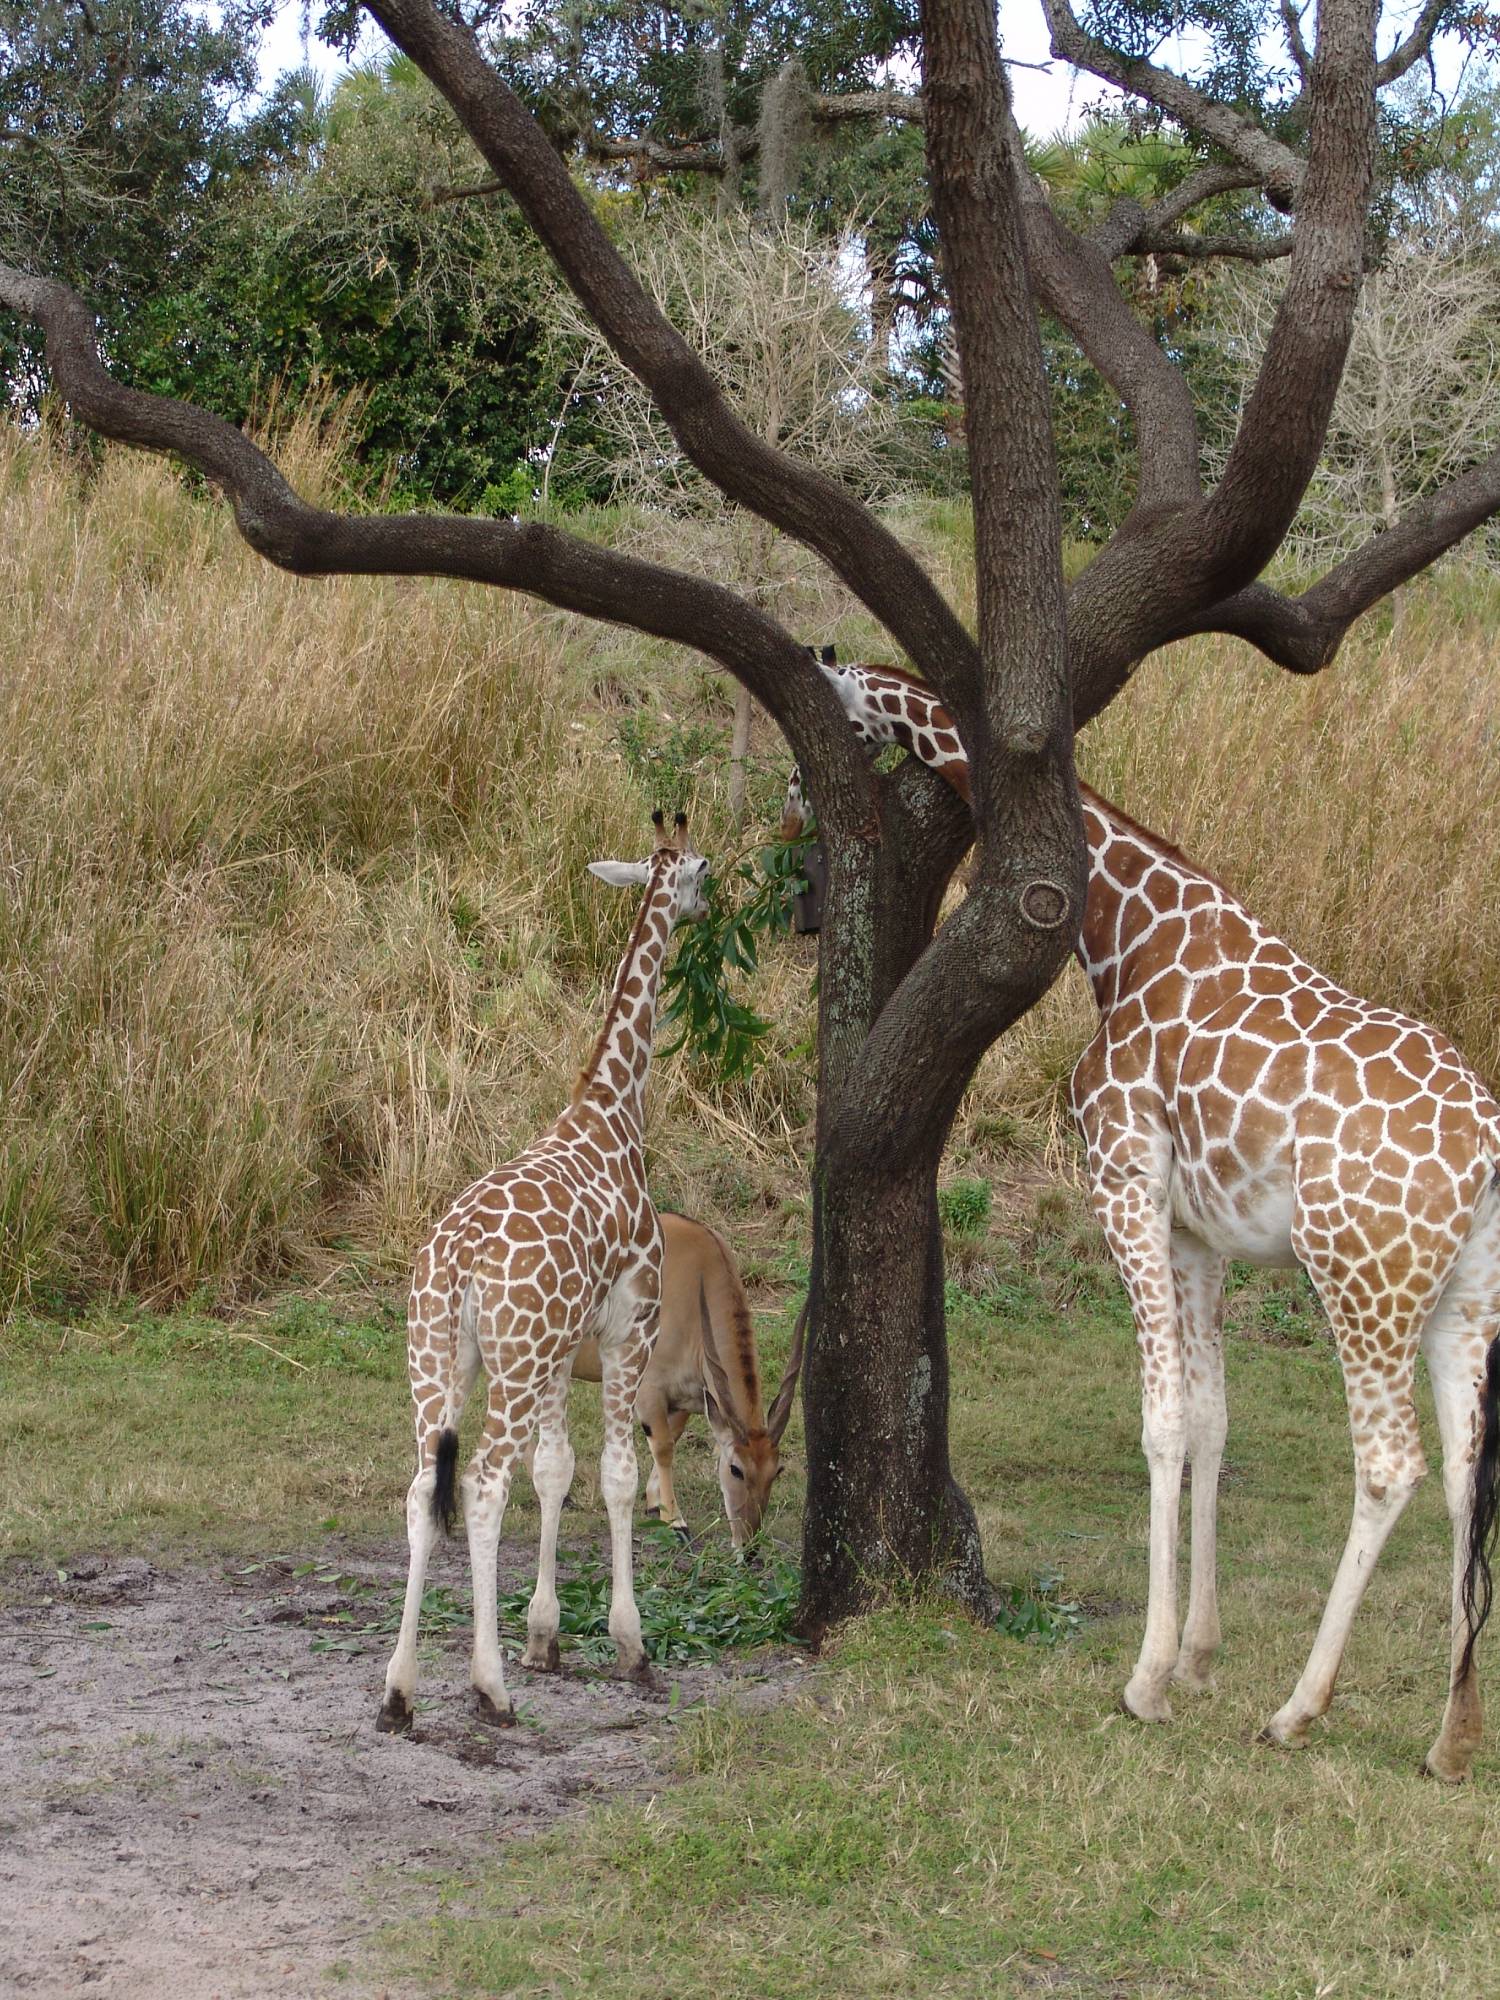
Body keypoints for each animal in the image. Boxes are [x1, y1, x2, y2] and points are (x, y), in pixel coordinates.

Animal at [374, 812, 708, 1736]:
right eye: (701, 872)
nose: (704, 906)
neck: (612, 1109)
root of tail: (457, 1263)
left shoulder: (565, 1343)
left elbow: (555, 1471)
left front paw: (544, 1635)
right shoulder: (629, 1320)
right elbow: (616, 1476)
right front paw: (630, 1645)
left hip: (437, 1359)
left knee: (422, 1490)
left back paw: (399, 1692)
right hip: (513, 1364)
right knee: (483, 1487)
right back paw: (487, 1689)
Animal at [780, 664, 1500, 1776]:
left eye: (803, 771)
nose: (803, 893)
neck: (1122, 932)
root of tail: (1486, 1153)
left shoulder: (1123, 1177)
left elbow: (1161, 1423)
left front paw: (1148, 1678)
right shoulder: (1199, 1228)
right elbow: (1210, 1419)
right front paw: (1198, 1656)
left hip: (1362, 1277)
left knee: (1390, 1465)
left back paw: (1300, 1707)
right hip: (1466, 1294)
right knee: (1468, 1476)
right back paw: (1453, 1737)